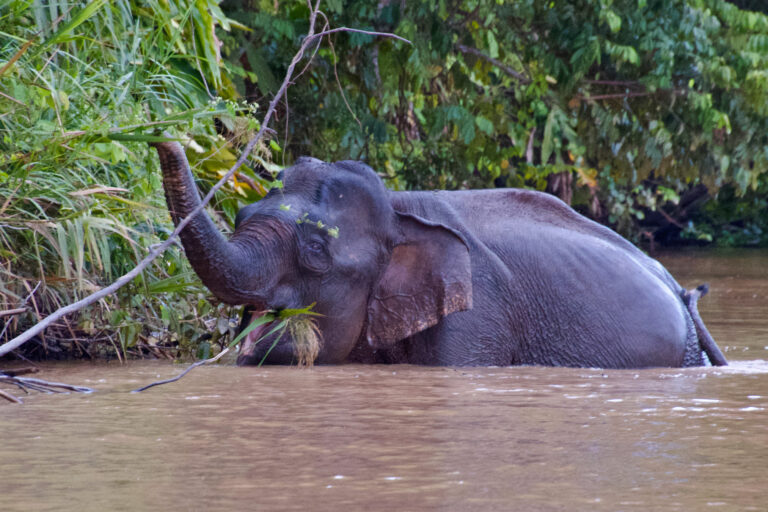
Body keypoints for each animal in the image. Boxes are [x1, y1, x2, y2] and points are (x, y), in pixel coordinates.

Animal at [148, 141, 728, 368]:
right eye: (243, 215)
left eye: (314, 250)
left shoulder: (477, 316)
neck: (400, 212)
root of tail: (677, 287)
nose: (160, 138)